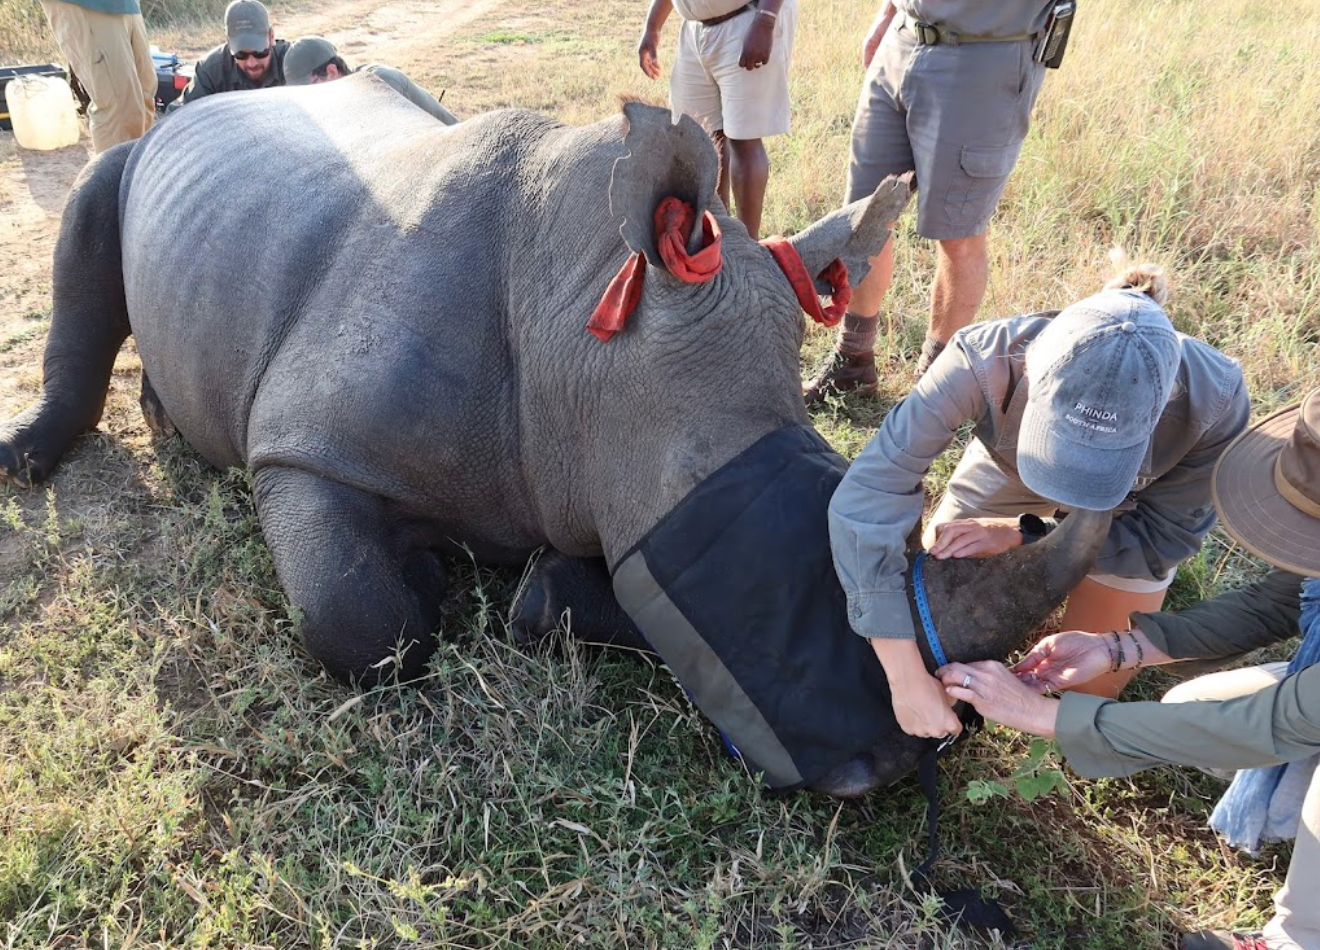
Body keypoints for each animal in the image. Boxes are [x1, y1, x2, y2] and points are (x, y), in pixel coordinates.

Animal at [0, 75, 1109, 796]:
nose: (900, 759)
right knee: (90, 216)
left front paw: (536, 588)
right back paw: (32, 458)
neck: (574, 316)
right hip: (132, 159)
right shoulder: (303, 447)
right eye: (696, 491)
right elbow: (366, 624)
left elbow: (589, 587)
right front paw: (427, 579)